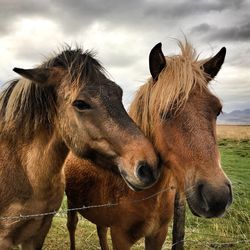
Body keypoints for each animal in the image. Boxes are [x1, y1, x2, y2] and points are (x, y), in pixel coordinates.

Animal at [64, 41, 232, 250]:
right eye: (164, 112)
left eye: (217, 110)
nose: (217, 196)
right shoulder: (120, 236)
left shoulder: (157, 235)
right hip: (72, 203)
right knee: (72, 225)